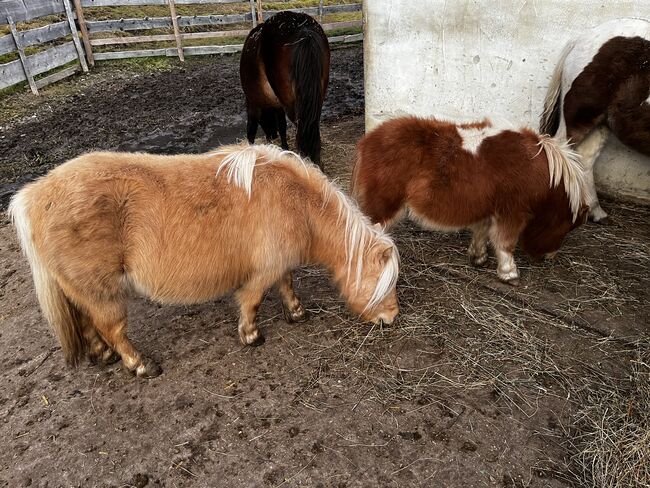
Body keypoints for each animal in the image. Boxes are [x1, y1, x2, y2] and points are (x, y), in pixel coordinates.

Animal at [7, 144, 398, 378]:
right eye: (382, 282)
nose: (391, 318)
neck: (293, 201)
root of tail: (33, 196)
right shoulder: (261, 273)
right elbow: (252, 300)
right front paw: (251, 335)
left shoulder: (279, 265)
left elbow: (287, 284)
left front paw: (297, 313)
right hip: (102, 293)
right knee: (112, 329)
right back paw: (140, 365)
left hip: (85, 291)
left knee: (89, 323)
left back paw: (103, 356)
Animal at [238, 10, 330, 170]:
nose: (271, 136)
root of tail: (303, 31)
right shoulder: (278, 104)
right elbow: (282, 126)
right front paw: (285, 149)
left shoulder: (252, 102)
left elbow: (251, 129)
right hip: (316, 99)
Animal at [536, 17, 648, 223]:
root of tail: (583, 38)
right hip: (581, 116)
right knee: (561, 151)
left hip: (601, 122)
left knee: (584, 158)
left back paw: (595, 211)